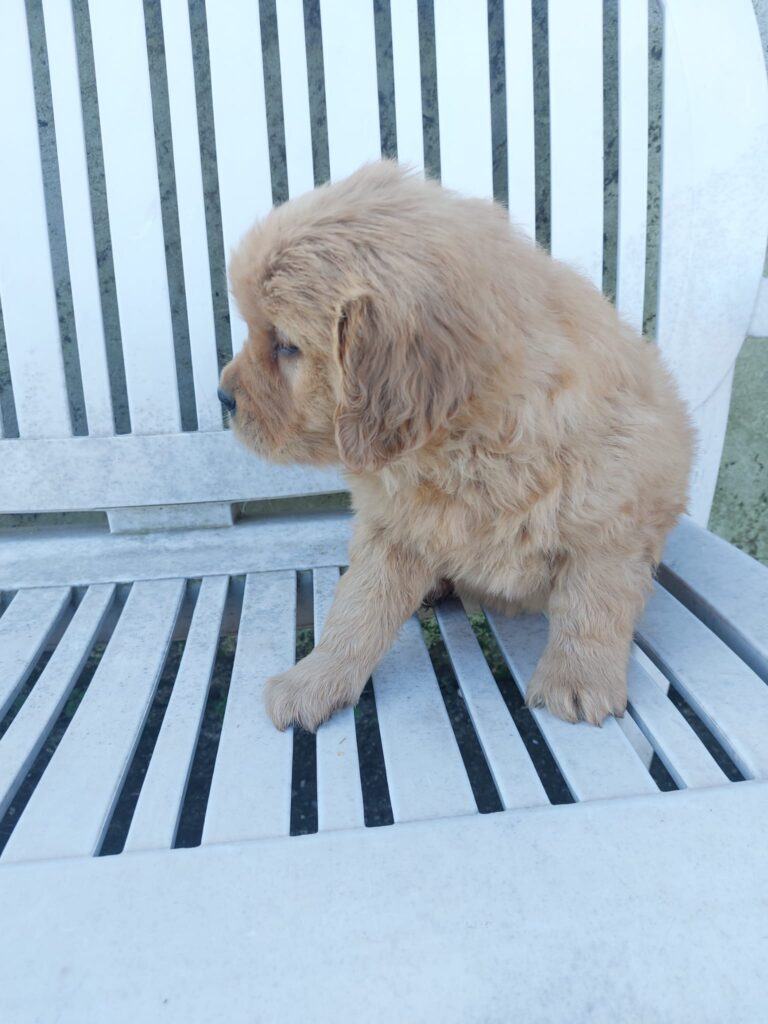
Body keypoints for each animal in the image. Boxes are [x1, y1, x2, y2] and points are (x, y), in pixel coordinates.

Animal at [219, 161, 696, 729]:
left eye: (286, 346)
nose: (223, 397)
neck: (462, 446)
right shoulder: (393, 526)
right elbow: (357, 609)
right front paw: (315, 679)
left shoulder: (609, 521)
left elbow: (591, 605)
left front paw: (577, 681)